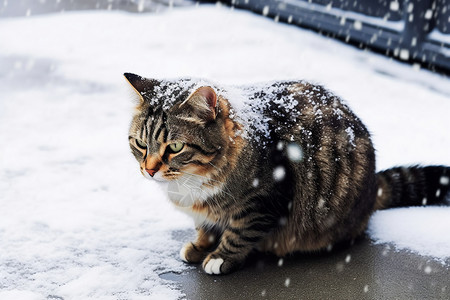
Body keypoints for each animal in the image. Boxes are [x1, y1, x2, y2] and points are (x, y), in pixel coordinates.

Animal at [125, 72, 450, 274]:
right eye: (141, 144)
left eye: (175, 146)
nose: (149, 170)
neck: (188, 184)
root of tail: (373, 185)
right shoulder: (204, 212)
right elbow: (205, 227)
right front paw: (200, 246)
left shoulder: (266, 200)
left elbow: (239, 233)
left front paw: (219, 257)